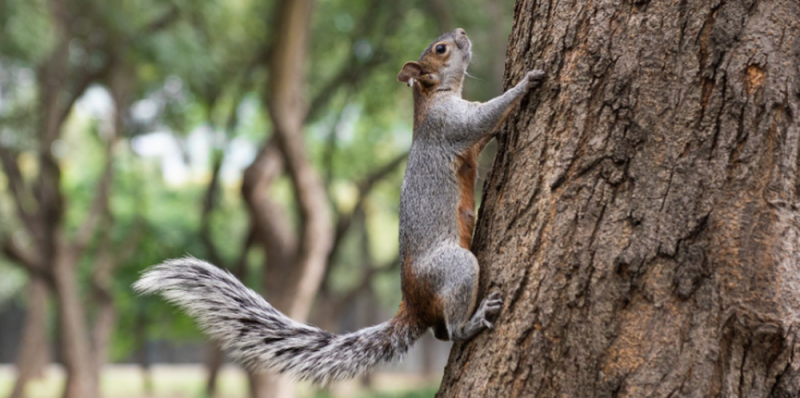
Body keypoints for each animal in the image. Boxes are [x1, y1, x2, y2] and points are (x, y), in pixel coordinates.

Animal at [134, 27, 548, 386]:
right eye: (440, 49)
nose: (461, 32)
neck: (431, 98)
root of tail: (413, 305)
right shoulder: (450, 124)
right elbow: (484, 117)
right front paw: (526, 82)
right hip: (455, 267)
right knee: (453, 329)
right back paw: (476, 319)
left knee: (442, 334)